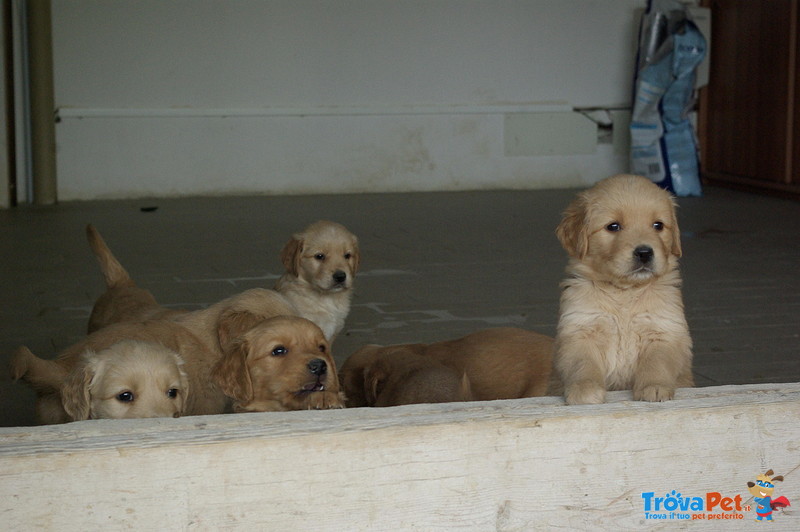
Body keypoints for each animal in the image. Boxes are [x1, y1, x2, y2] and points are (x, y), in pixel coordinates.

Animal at [552, 174, 692, 404]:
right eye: (613, 226)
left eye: (658, 225)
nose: (644, 253)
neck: (625, 292)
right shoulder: (581, 329)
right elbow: (582, 364)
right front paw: (584, 389)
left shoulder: (663, 331)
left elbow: (657, 362)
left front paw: (654, 387)